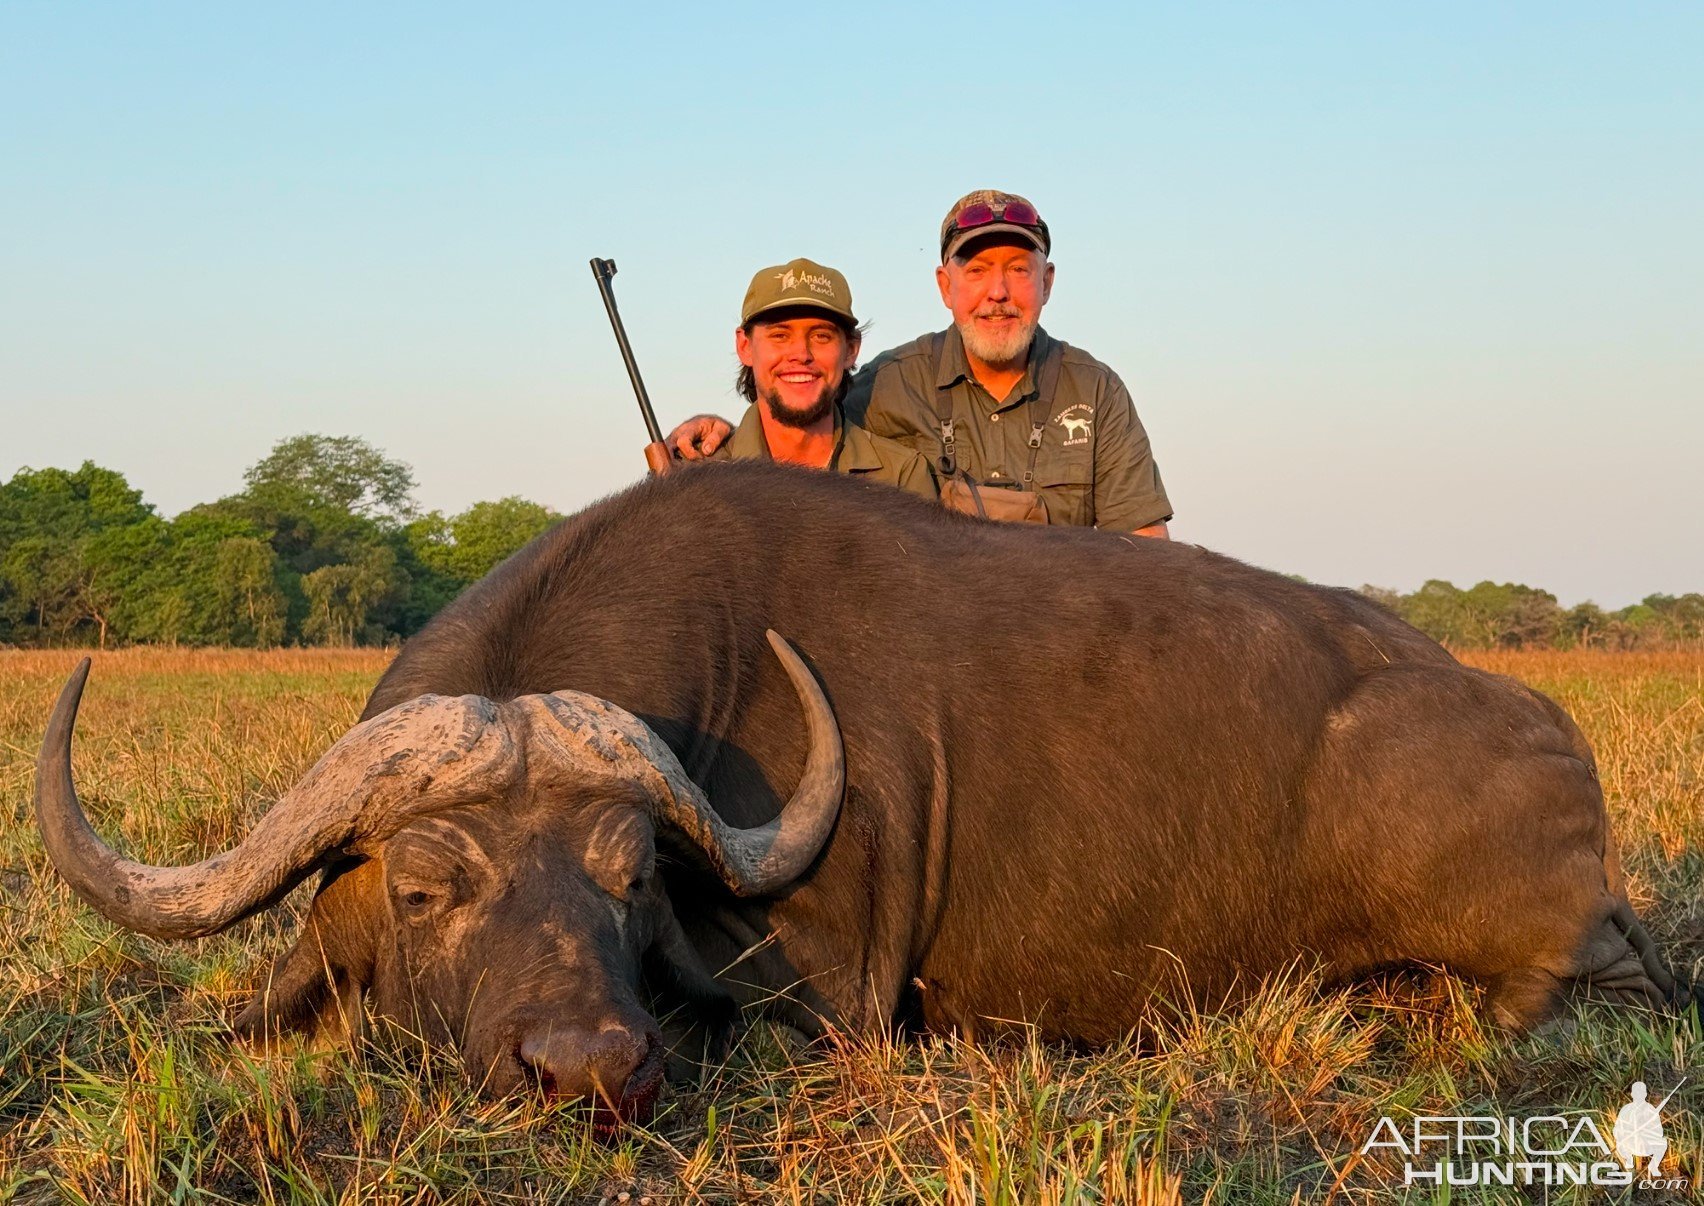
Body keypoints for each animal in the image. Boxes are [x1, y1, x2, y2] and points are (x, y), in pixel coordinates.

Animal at [33, 459, 1697, 1124]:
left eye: (630, 877)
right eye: (430, 884)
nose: (590, 1069)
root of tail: (1548, 735)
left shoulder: (822, 995)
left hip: (1535, 949)